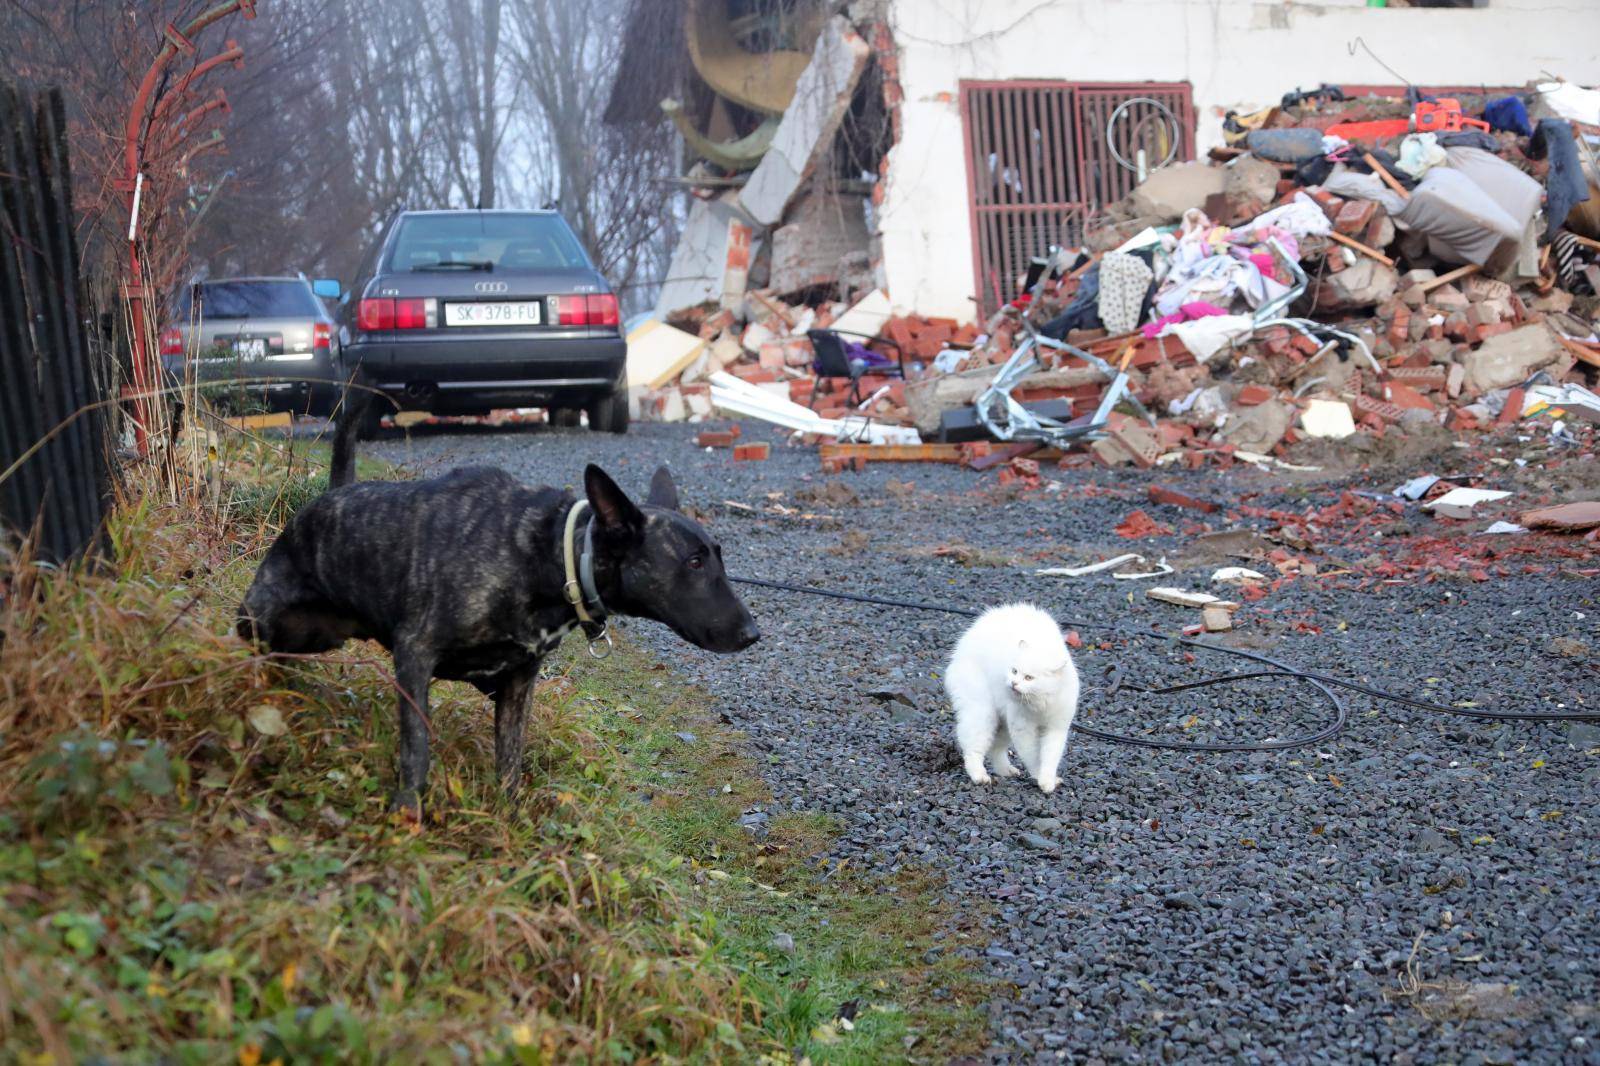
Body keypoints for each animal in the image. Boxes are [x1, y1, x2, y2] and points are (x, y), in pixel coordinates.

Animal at [940, 601, 1081, 793]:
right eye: (1014, 671)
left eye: (1029, 678)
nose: (1013, 683)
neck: (1039, 703)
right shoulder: (1023, 729)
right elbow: (1033, 757)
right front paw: (1039, 777)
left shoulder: (1056, 728)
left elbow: (1050, 757)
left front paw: (1048, 781)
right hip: (983, 713)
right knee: (973, 750)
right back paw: (980, 777)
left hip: (1003, 722)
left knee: (996, 750)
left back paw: (1006, 771)